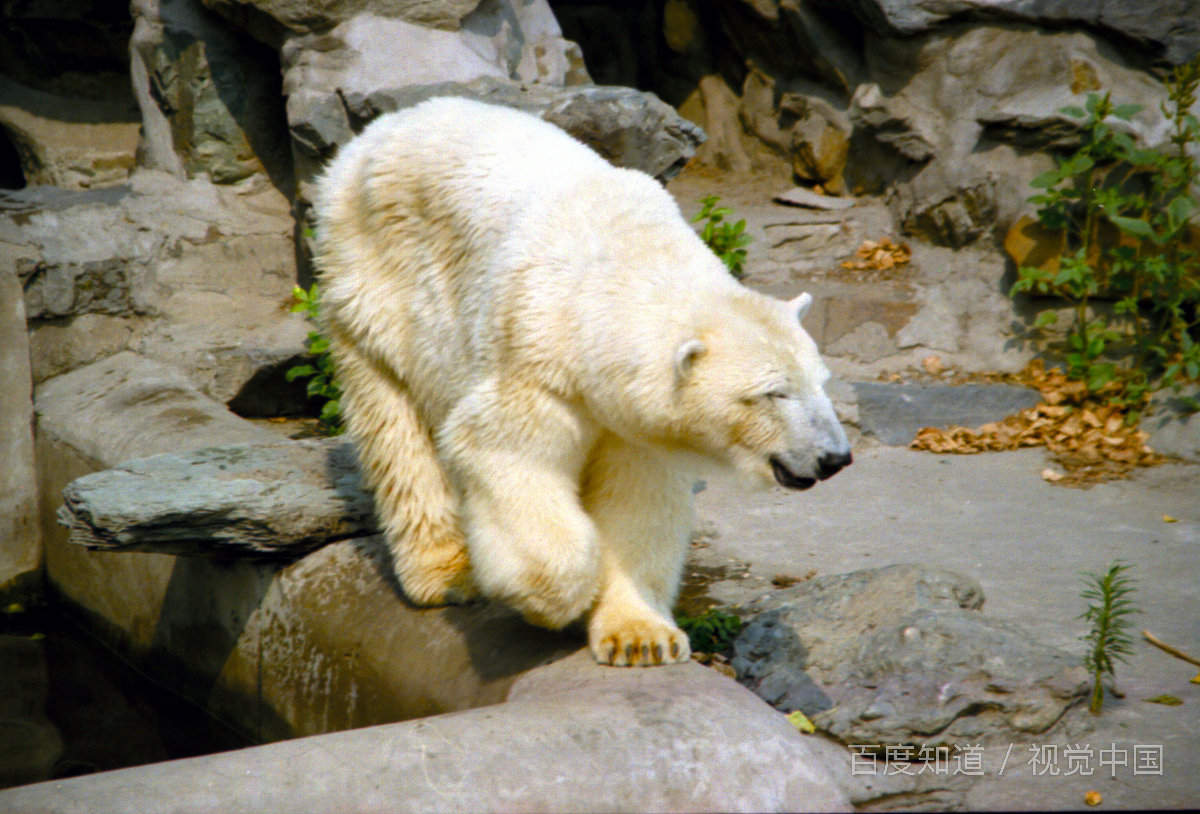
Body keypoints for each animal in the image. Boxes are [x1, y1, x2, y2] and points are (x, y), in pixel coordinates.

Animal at [314, 97, 849, 667]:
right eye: (773, 393)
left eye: (821, 382)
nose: (834, 458)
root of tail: (381, 128)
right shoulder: (537, 364)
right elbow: (507, 453)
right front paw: (556, 601)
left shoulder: (633, 422)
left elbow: (636, 500)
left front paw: (641, 638)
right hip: (374, 282)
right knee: (395, 428)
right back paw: (449, 572)